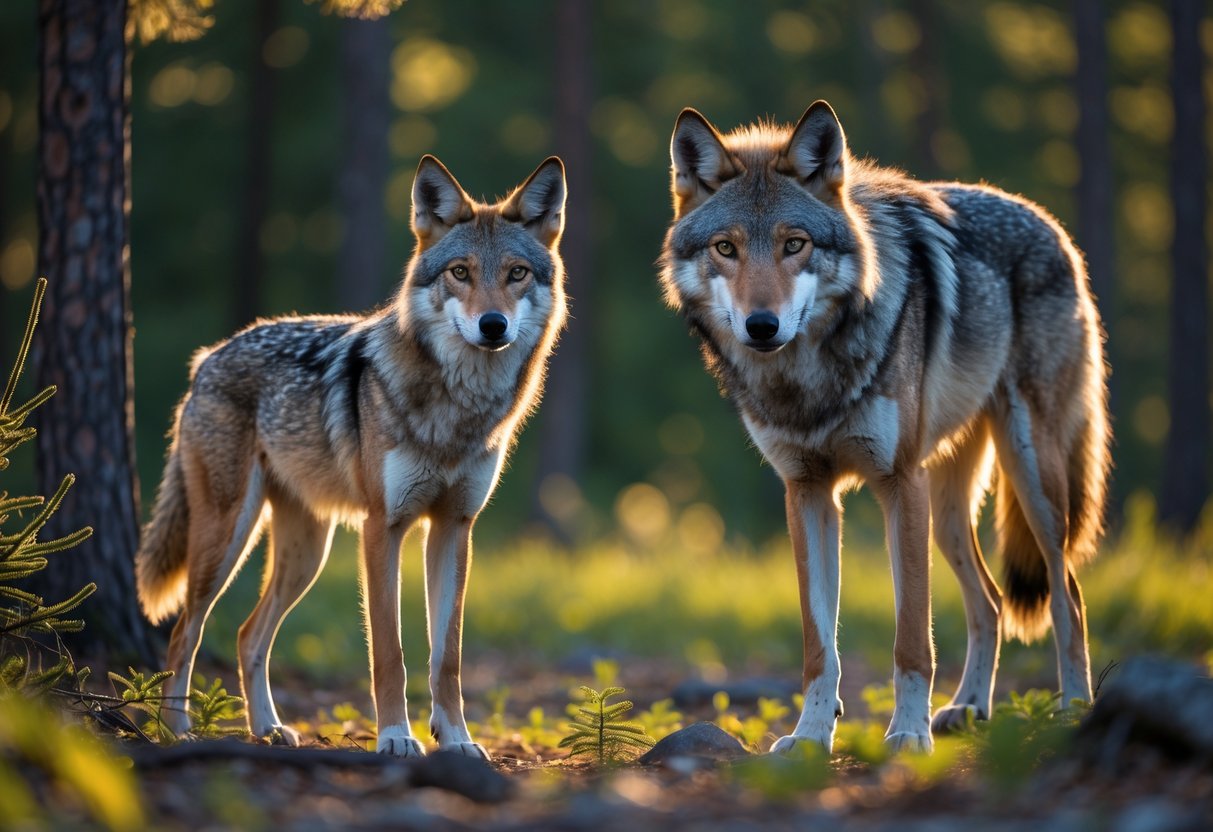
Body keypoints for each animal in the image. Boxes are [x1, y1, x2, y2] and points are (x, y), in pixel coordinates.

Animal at [135, 154, 568, 758]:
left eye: (516, 274)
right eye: (460, 273)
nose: (492, 325)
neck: (458, 409)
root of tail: (207, 358)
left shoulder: (454, 529)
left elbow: (448, 659)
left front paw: (457, 740)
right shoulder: (381, 528)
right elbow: (390, 653)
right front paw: (395, 738)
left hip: (305, 556)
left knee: (248, 634)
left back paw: (268, 728)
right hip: (227, 539)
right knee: (184, 632)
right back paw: (177, 731)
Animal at [659, 102, 1109, 753]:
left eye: (794, 244)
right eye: (726, 248)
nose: (762, 325)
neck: (807, 381)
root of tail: (1049, 222)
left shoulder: (899, 484)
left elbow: (911, 639)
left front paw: (908, 735)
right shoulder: (808, 492)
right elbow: (819, 647)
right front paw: (810, 737)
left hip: (1030, 485)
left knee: (1067, 594)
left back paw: (1073, 706)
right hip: (947, 513)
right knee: (992, 601)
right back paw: (969, 707)